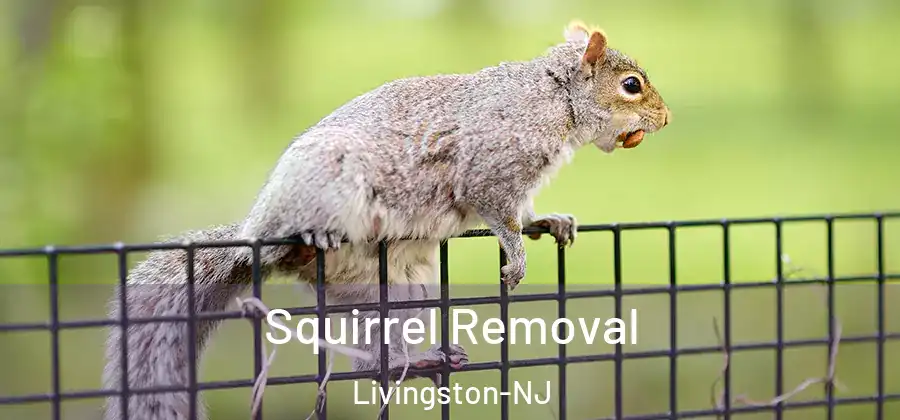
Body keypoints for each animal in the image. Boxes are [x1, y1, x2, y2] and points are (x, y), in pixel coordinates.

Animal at [101, 20, 670, 420]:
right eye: (631, 85)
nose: (665, 120)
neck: (554, 98)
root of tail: (251, 237)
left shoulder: (518, 183)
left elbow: (524, 212)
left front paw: (549, 222)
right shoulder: (489, 167)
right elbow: (498, 214)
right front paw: (516, 257)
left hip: (400, 291)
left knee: (372, 362)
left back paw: (416, 360)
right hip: (325, 188)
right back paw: (308, 239)